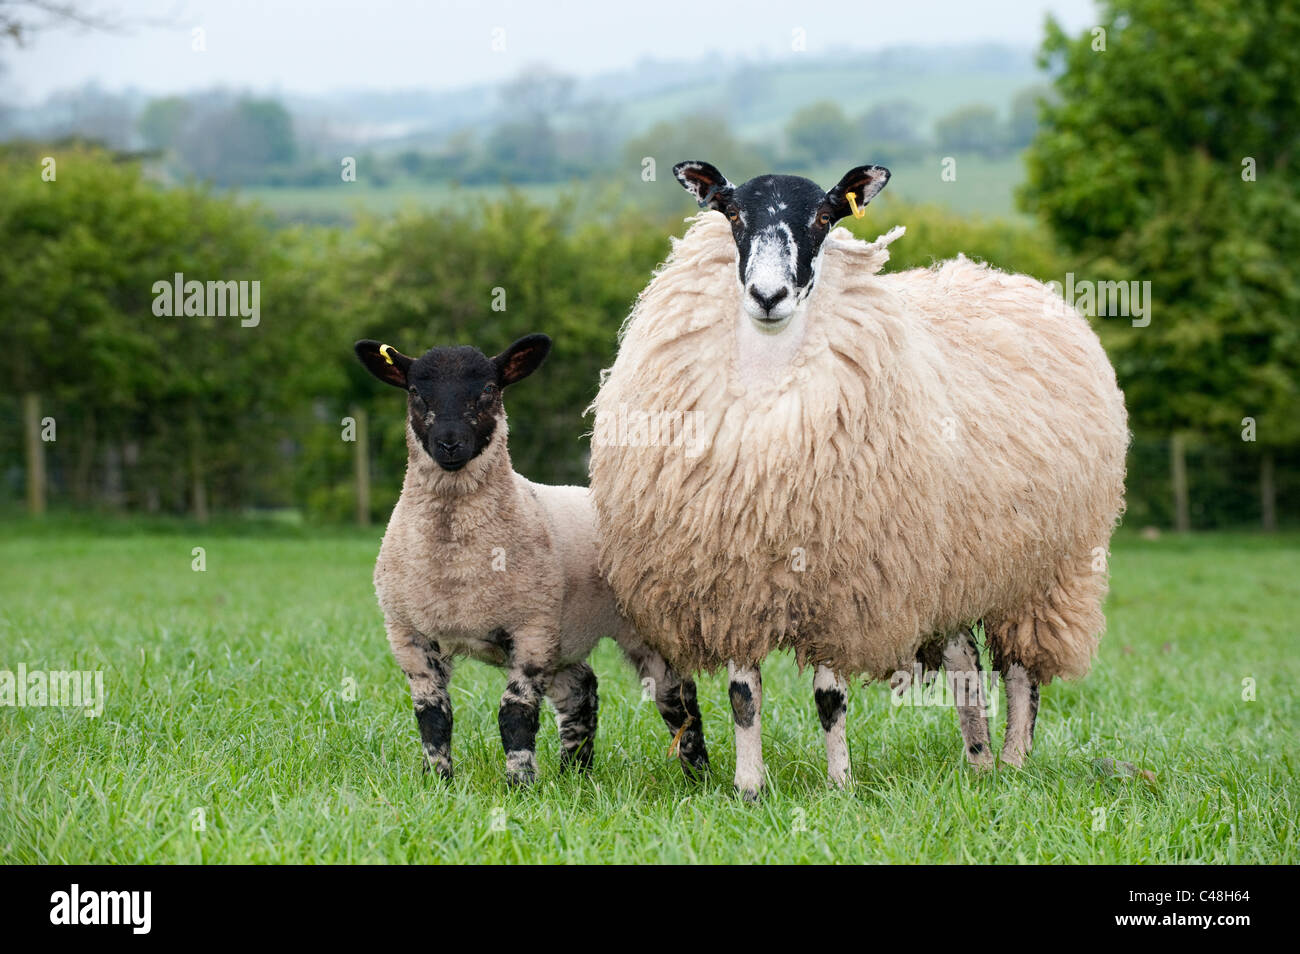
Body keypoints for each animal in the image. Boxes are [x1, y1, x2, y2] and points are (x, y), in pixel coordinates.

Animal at [356, 332, 712, 790]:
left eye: (489, 389)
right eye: (415, 392)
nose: (449, 444)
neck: (455, 561)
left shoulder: (531, 629)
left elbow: (515, 714)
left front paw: (519, 784)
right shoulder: (408, 635)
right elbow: (433, 717)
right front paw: (437, 781)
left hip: (643, 628)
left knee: (678, 699)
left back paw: (698, 774)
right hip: (564, 639)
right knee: (583, 689)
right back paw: (575, 771)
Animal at [590, 162, 1128, 800]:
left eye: (825, 217)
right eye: (733, 213)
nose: (767, 297)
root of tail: (1020, 284)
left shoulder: (843, 585)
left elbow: (830, 698)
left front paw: (841, 784)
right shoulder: (735, 582)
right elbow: (744, 697)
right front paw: (749, 788)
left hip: (1043, 569)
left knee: (1022, 672)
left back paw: (1015, 761)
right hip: (957, 566)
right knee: (967, 667)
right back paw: (978, 763)